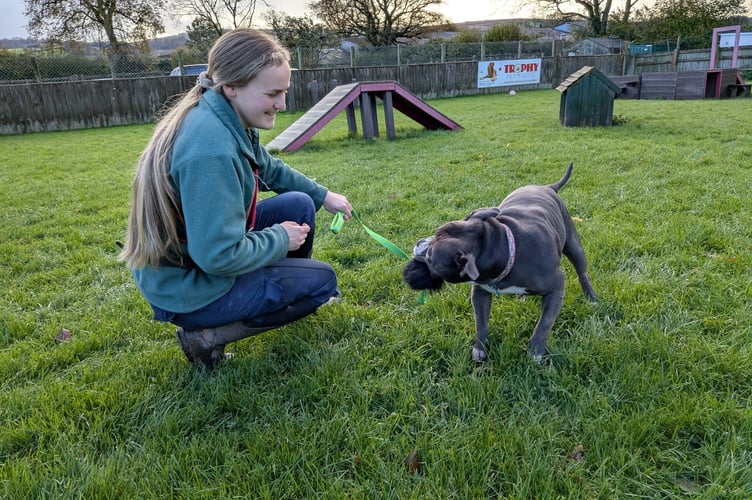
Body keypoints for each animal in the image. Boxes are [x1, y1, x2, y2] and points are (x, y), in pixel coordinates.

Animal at [402, 164, 596, 364]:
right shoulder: (480, 292)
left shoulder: (556, 287)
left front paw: (536, 350)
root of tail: (547, 187)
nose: (418, 242)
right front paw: (479, 348)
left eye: (431, 258)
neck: (497, 245)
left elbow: (545, 322)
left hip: (574, 246)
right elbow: (480, 322)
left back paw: (592, 298)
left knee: (582, 273)